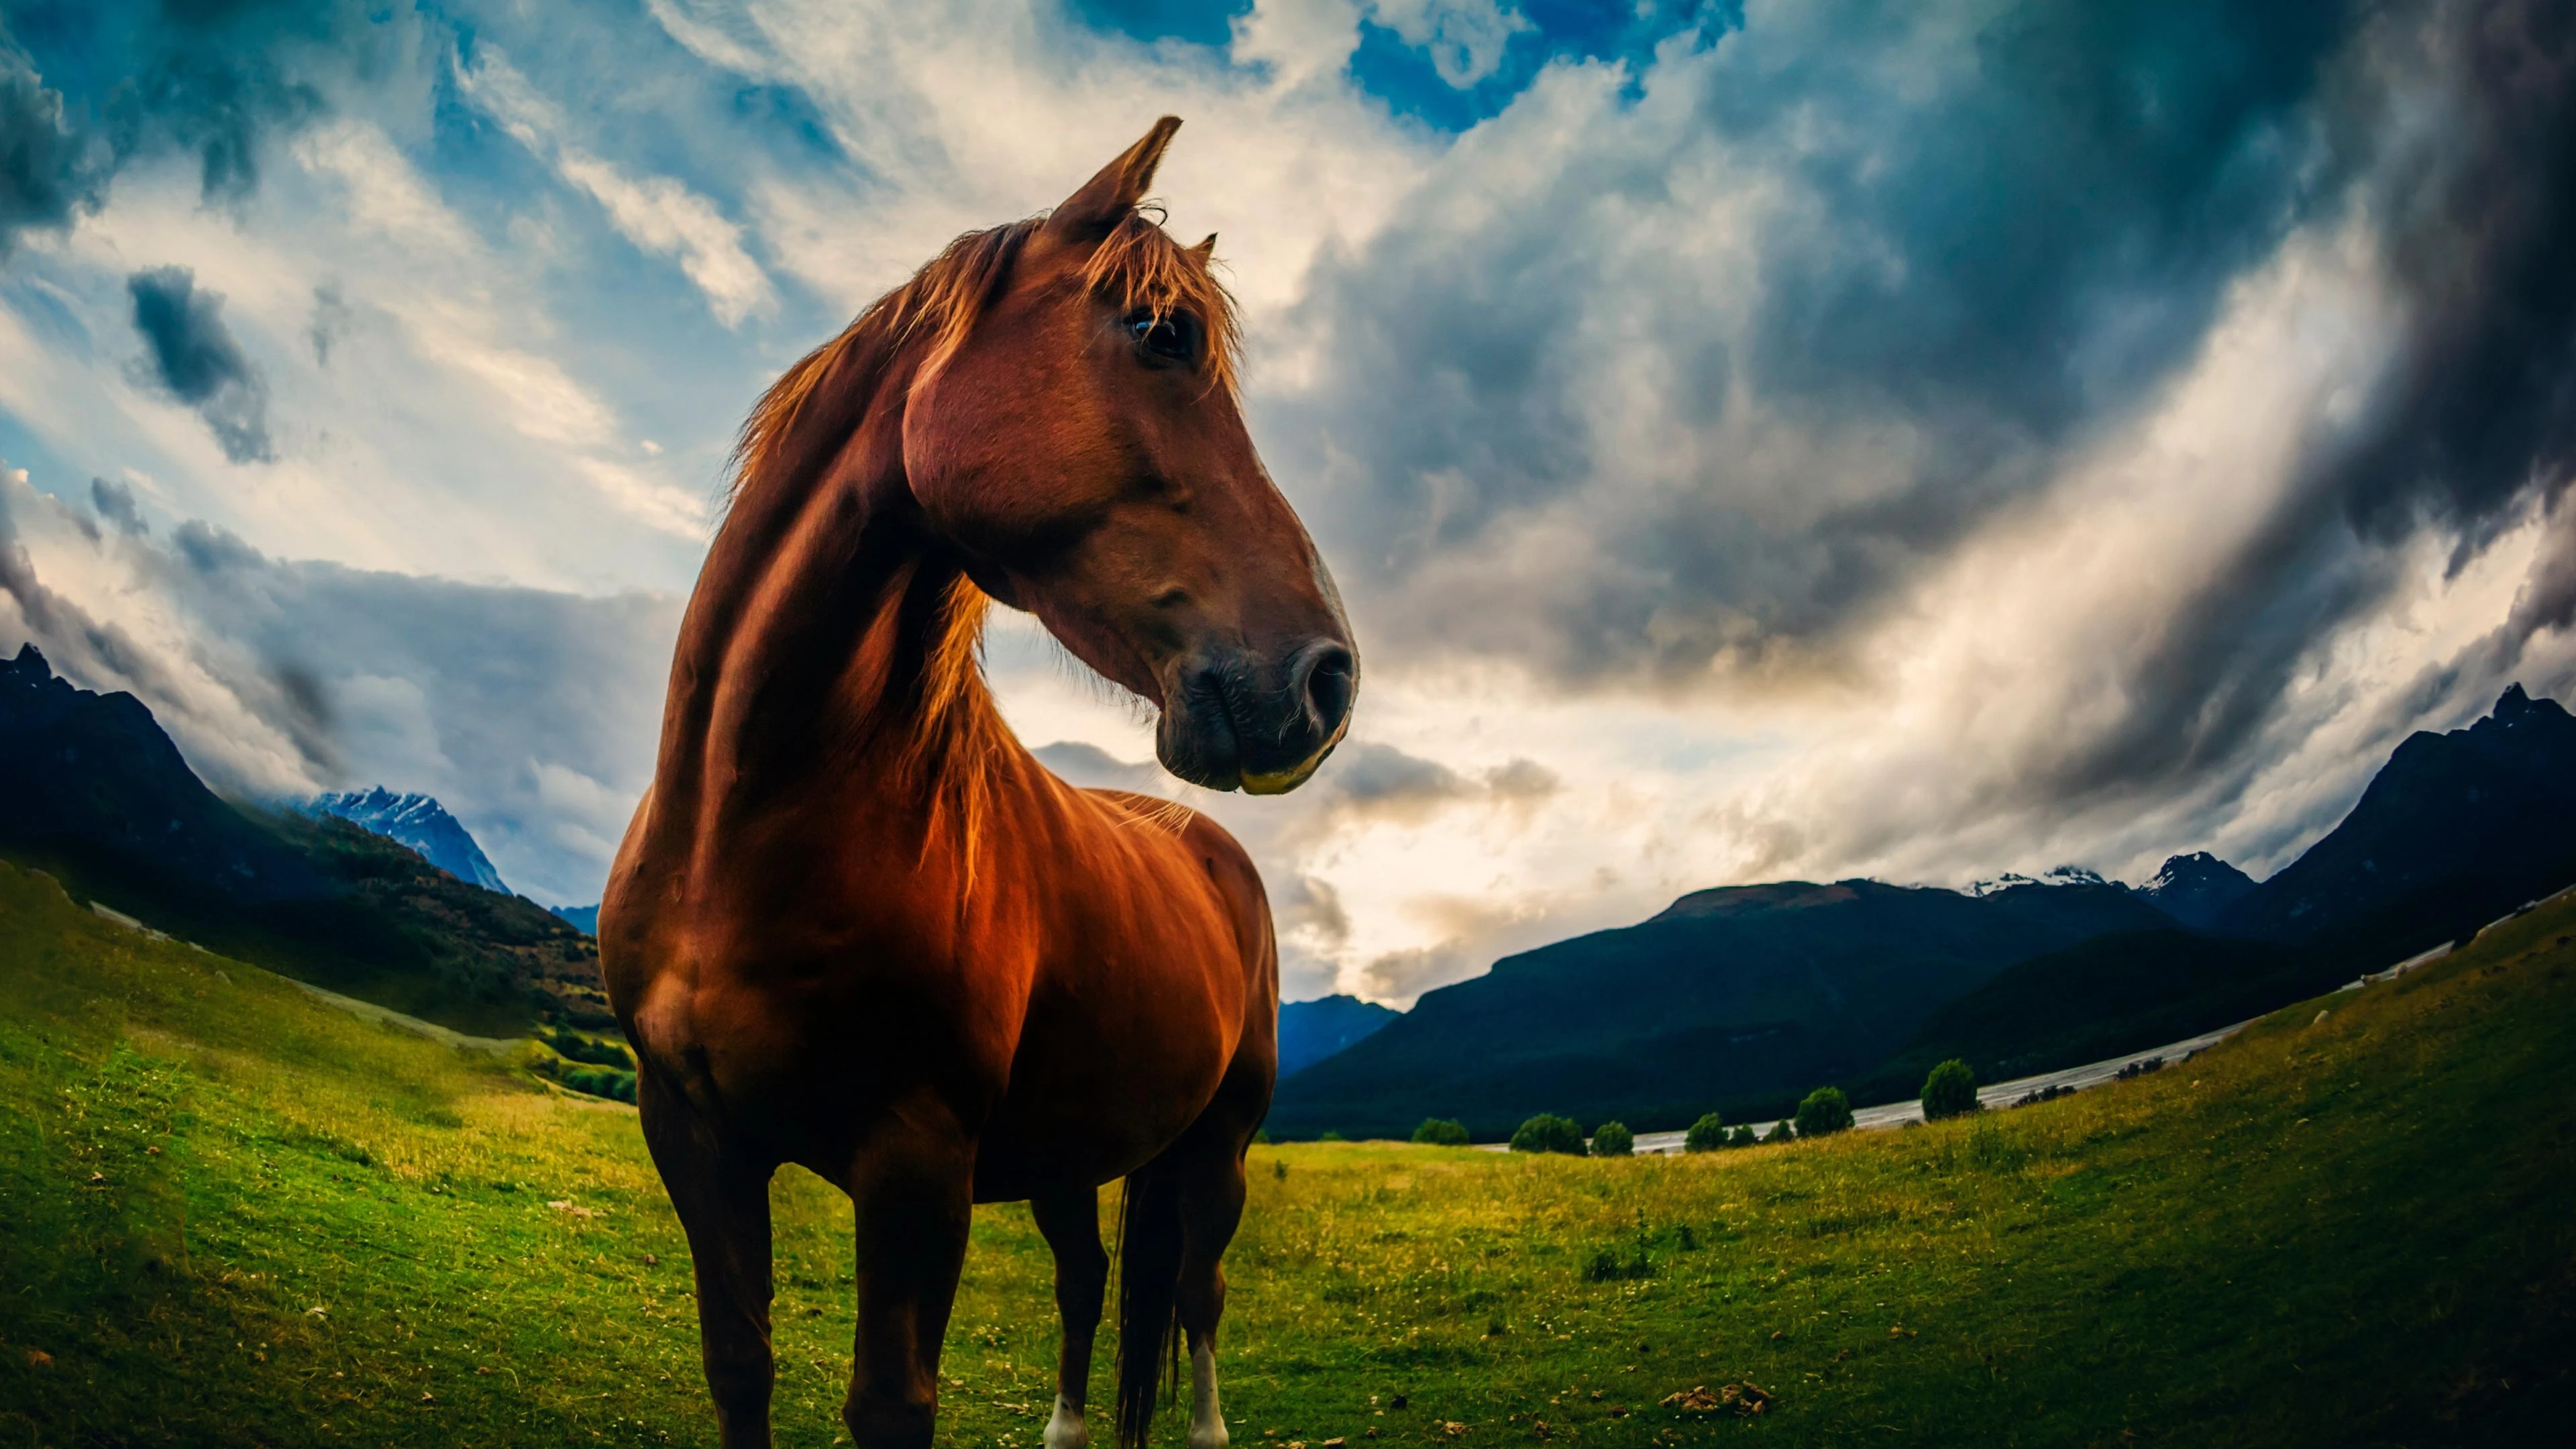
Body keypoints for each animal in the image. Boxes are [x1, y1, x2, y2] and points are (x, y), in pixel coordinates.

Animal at [599, 117, 1357, 1449]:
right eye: (1157, 334)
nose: (1327, 678)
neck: (743, 831)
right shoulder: (691, 1132)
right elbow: (738, 1365)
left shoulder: (916, 1164)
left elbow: (891, 1403)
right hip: (1075, 1147)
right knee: (1091, 1281)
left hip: (1217, 1146)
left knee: (1197, 1295)